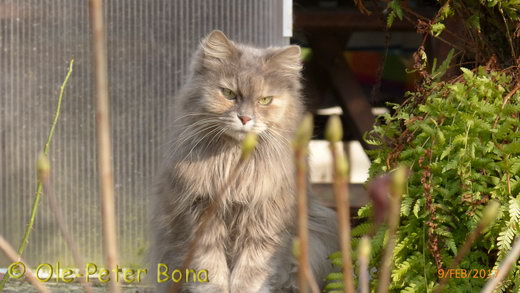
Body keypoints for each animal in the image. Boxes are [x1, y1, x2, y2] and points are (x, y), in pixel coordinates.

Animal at [148, 30, 340, 292]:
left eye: (265, 100)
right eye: (229, 94)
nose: (245, 118)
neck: (234, 162)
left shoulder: (264, 220)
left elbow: (250, 271)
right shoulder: (200, 215)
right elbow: (210, 269)